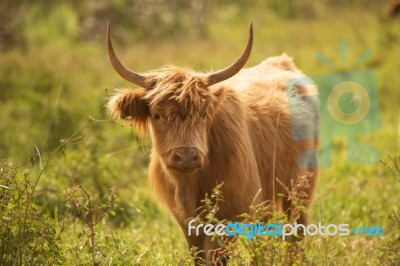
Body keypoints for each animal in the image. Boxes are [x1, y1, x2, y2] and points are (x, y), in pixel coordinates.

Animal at [105, 22, 318, 262]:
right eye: (157, 115)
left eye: (204, 114)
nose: (186, 156)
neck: (190, 184)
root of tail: (283, 62)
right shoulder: (186, 222)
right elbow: (198, 256)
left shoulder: (229, 216)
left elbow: (218, 256)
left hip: (302, 186)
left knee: (296, 232)